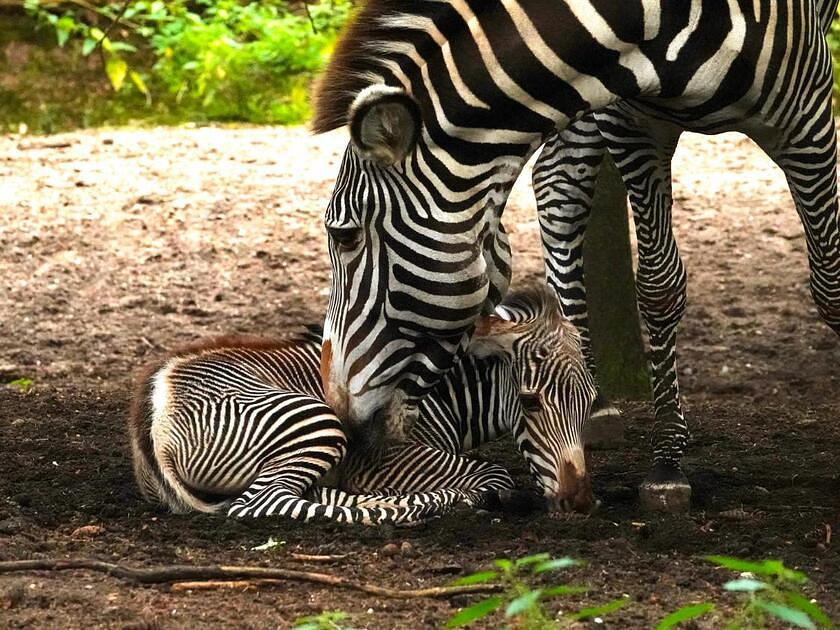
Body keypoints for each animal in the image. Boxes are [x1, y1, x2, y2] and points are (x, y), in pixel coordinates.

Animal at [126, 290, 596, 524]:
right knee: (260, 504)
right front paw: (477, 494)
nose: (581, 502)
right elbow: (494, 472)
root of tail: (158, 396)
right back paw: (424, 506)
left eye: (591, 404)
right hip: (315, 422)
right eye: (530, 402)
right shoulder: (386, 456)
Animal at [316, 1, 840, 512]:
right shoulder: (628, 118)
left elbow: (830, 284)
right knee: (558, 181)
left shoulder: (807, 111)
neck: (650, 16)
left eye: (344, 236)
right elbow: (659, 284)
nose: (335, 408)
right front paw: (667, 462)